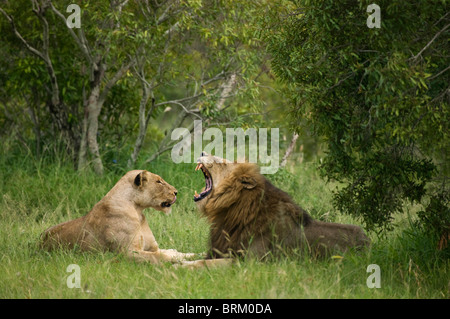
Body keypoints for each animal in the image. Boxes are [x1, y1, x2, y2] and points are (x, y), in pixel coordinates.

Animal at [41, 171, 195, 264]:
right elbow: (160, 256)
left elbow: (172, 252)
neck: (138, 211)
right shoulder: (127, 253)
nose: (176, 192)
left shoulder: (152, 247)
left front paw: (192, 255)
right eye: (159, 182)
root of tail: (39, 243)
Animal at [181, 154, 368, 268]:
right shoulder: (218, 249)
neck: (231, 211)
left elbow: (203, 263)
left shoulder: (251, 261)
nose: (203, 152)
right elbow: (192, 255)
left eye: (223, 162)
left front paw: (180, 268)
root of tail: (369, 242)